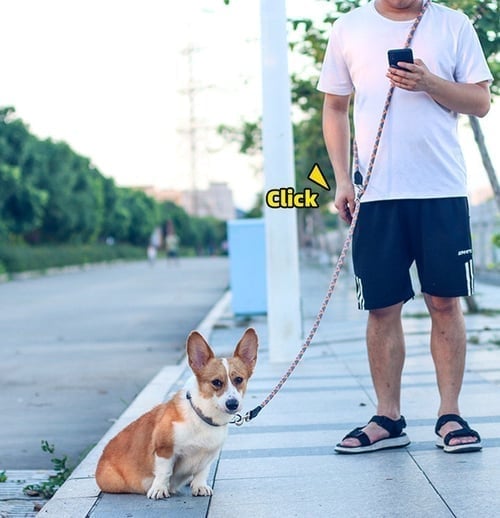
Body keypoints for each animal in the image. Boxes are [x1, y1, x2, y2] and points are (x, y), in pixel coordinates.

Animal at [95, 328, 258, 502]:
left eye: (239, 379)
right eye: (216, 382)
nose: (232, 403)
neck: (202, 416)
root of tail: (101, 457)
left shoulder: (209, 455)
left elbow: (202, 471)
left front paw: (200, 486)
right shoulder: (164, 449)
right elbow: (164, 472)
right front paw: (159, 489)